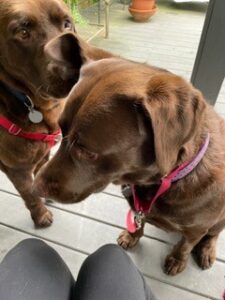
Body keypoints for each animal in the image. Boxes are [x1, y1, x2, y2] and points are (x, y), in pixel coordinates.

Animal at [0, 0, 111, 225]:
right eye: (23, 32)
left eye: (67, 24)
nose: (75, 67)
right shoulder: (16, 168)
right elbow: (30, 195)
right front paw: (40, 215)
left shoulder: (42, 153)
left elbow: (39, 171)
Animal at [33, 34, 225, 276]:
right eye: (61, 131)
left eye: (86, 151)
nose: (34, 187)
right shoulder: (138, 207)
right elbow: (138, 222)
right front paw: (132, 236)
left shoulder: (195, 229)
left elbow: (185, 244)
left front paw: (177, 260)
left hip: (220, 219)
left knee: (213, 234)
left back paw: (207, 249)